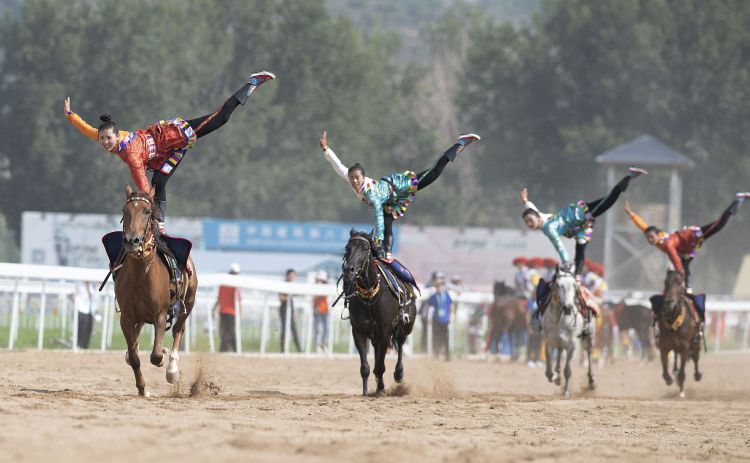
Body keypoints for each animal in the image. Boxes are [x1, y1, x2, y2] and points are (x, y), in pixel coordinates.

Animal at [116, 185, 198, 396]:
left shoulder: (160, 315)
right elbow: (135, 357)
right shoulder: (126, 317)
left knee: (178, 329)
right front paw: (142, 389)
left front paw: (163, 358)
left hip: (188, 302)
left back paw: (172, 369)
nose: (132, 241)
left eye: (146, 211)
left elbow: (155, 355)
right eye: (124, 211)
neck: (140, 276)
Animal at [342, 230, 417, 396]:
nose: (349, 270)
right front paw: (366, 391)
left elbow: (380, 366)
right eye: (347, 247)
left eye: (365, 248)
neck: (370, 296)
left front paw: (381, 389)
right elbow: (365, 367)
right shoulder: (359, 331)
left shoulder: (385, 332)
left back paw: (398, 374)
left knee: (400, 345)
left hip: (405, 327)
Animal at [542, 266, 595, 398]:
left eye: (574, 285)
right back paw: (558, 376)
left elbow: (568, 370)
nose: (568, 308)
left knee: (589, 352)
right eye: (557, 285)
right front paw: (555, 377)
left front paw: (565, 391)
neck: (559, 320)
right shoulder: (549, 342)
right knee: (560, 352)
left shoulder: (572, 345)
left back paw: (591, 381)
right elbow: (548, 371)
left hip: (589, 336)